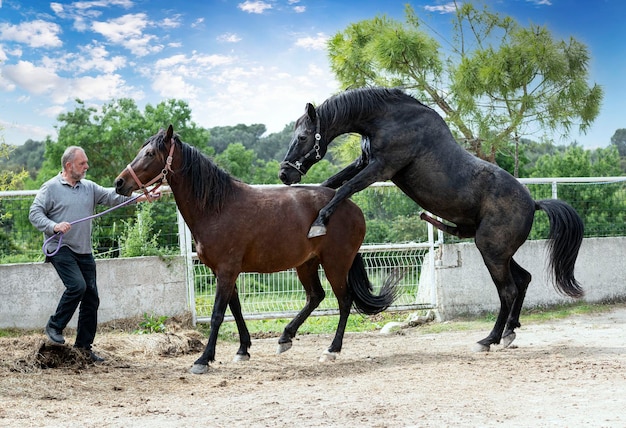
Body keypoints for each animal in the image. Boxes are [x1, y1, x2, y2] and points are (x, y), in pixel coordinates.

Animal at [114, 124, 398, 374]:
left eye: (150, 153)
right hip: (306, 264)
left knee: (344, 301)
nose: (119, 183)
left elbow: (218, 314)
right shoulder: (222, 272)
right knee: (315, 296)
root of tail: (349, 205)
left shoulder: (227, 271)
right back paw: (285, 338)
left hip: (335, 264)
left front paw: (203, 359)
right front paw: (243, 350)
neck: (217, 208)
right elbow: (235, 309)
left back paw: (331, 350)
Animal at [280, 87, 584, 352]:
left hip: (492, 252)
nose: (285, 174)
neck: (388, 119)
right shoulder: (363, 162)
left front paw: (319, 222)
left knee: (508, 291)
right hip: (499, 252)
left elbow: (344, 188)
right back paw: (509, 332)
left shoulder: (380, 168)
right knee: (523, 280)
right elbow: (332, 182)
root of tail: (533, 204)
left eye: (304, 137)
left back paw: (489, 339)